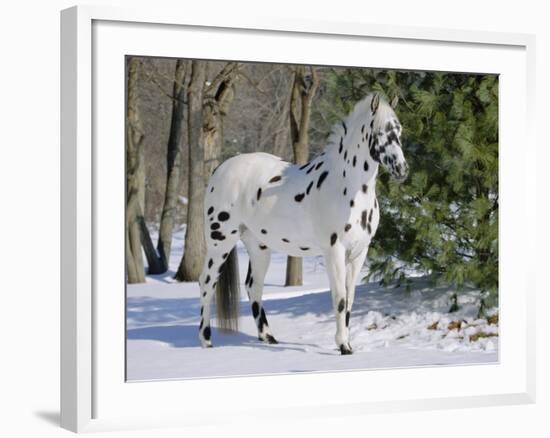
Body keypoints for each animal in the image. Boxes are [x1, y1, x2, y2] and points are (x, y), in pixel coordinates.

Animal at [198, 94, 410, 354]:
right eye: (381, 133)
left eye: (399, 131)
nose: (402, 170)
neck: (347, 186)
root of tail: (220, 169)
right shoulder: (334, 251)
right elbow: (339, 298)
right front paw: (343, 346)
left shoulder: (359, 253)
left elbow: (350, 299)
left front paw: (348, 344)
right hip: (220, 241)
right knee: (207, 283)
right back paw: (206, 340)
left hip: (258, 245)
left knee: (253, 286)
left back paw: (268, 337)